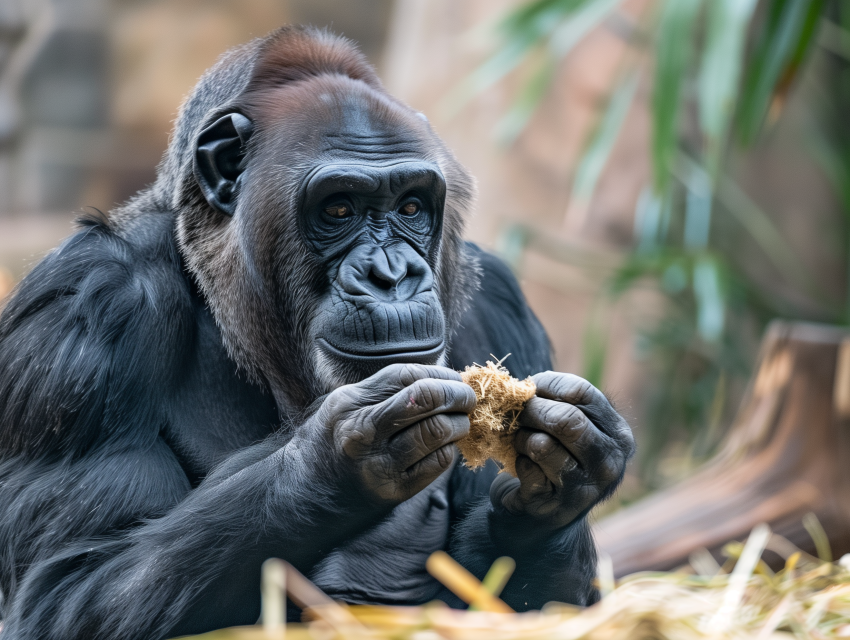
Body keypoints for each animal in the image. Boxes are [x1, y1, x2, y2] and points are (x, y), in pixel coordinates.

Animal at [0, 27, 634, 639]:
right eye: (338, 209)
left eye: (410, 206)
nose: (392, 275)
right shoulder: (89, 313)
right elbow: (63, 588)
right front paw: (336, 460)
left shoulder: (499, 303)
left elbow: (518, 604)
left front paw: (561, 479)